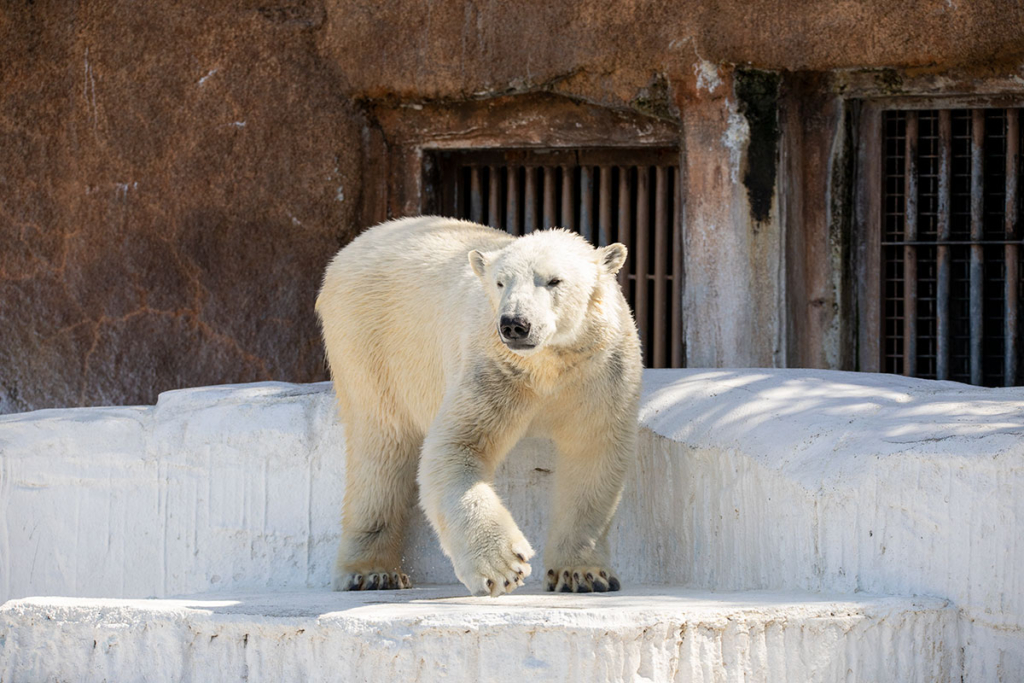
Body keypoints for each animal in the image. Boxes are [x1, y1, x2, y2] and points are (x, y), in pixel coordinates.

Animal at [315, 216, 643, 593]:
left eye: (554, 280)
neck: (548, 364)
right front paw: (504, 565)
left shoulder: (599, 373)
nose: (515, 324)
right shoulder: (494, 369)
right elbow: (457, 447)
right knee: (382, 446)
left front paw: (583, 574)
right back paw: (372, 573)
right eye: (500, 282)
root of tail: (351, 248)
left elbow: (593, 454)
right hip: (368, 340)